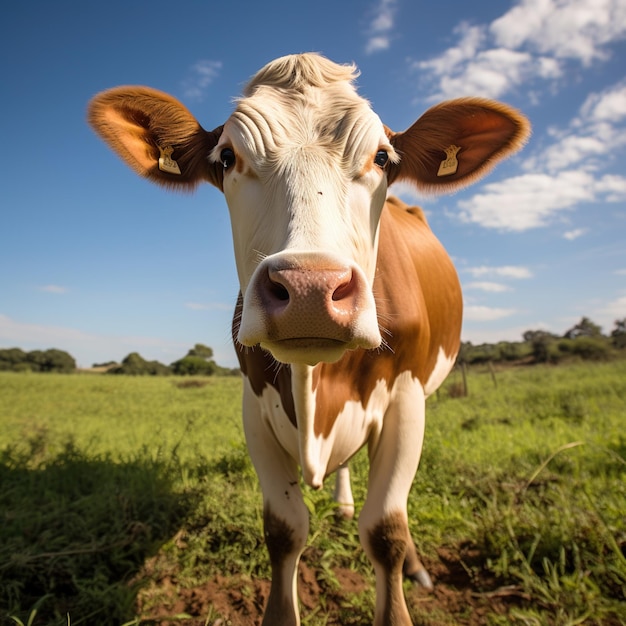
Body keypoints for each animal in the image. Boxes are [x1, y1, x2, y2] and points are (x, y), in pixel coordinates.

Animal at [88, 54, 528, 624]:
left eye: (382, 157)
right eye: (227, 157)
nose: (309, 289)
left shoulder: (407, 399)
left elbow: (386, 529)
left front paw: (402, 567)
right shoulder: (254, 406)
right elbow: (283, 529)